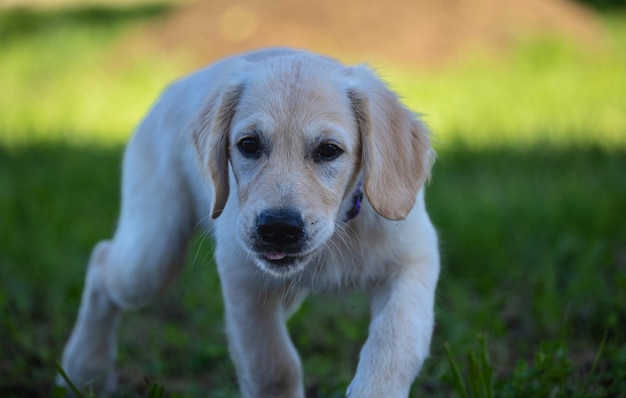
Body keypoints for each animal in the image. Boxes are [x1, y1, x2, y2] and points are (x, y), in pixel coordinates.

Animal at [58, 48, 438, 396]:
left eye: (329, 150)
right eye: (249, 145)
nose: (279, 229)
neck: (339, 228)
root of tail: (173, 87)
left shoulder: (413, 261)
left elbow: (394, 341)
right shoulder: (242, 275)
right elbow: (273, 365)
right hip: (151, 257)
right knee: (102, 262)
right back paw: (83, 369)